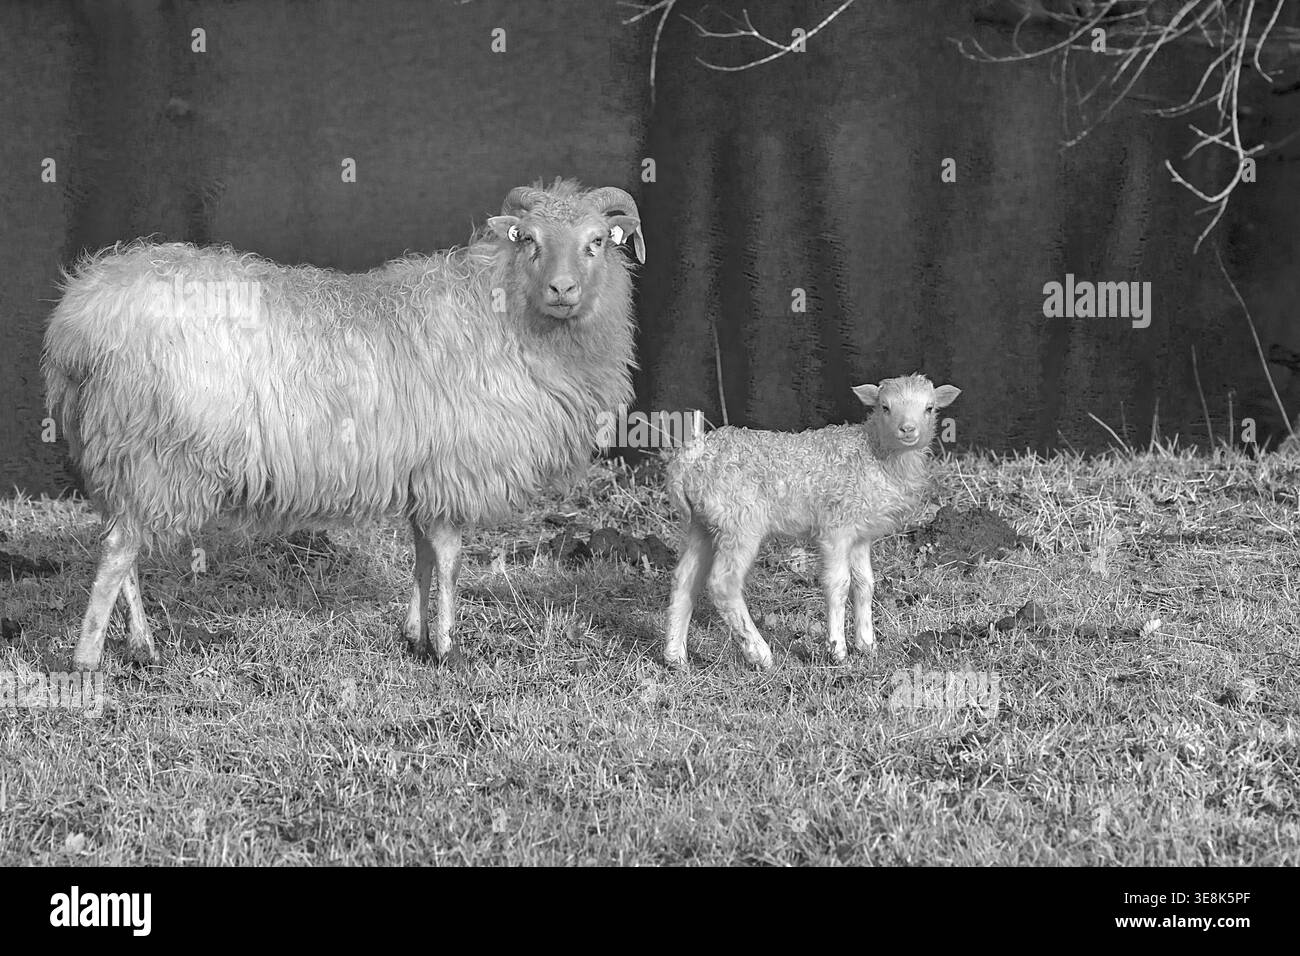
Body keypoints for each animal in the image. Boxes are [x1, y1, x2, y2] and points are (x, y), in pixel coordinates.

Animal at [42, 179, 645, 670]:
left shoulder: (423, 473)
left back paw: (142, 646)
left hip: (120, 455)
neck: (504, 313)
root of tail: (81, 316)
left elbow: (422, 556)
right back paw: (87, 662)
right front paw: (450, 649)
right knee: (118, 553)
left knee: (122, 548)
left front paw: (416, 639)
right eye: (531, 241)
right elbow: (449, 559)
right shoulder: (451, 470)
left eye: (596, 241)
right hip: (154, 451)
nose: (563, 290)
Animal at [663, 374, 961, 669]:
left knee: (684, 579)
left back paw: (675, 656)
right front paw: (837, 650)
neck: (875, 454)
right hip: (739, 521)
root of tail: (688, 459)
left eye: (929, 408)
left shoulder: (860, 533)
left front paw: (867, 645)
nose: (908, 430)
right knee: (723, 584)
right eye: (885, 407)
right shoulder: (835, 529)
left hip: (703, 522)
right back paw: (760, 654)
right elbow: (838, 584)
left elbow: (865, 584)